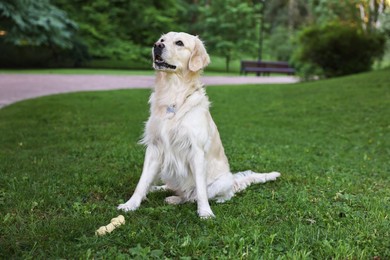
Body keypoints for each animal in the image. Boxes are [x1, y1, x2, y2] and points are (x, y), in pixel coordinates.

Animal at [119, 33, 280, 219]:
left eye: (179, 43)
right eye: (162, 39)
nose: (157, 46)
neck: (173, 94)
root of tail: (233, 181)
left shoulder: (196, 150)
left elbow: (201, 190)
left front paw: (205, 212)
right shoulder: (154, 147)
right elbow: (142, 181)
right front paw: (130, 204)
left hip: (223, 181)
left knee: (196, 195)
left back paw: (180, 199)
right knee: (176, 189)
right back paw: (158, 189)